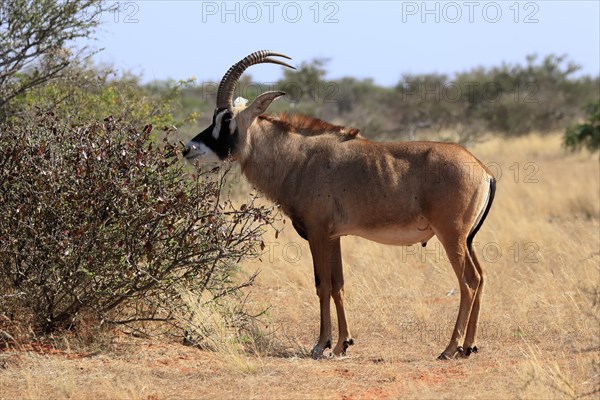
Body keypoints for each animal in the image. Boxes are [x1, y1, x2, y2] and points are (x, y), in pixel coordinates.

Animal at [183, 50, 496, 360]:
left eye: (226, 119)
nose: (188, 149)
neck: (298, 158)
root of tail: (483, 171)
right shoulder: (334, 237)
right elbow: (338, 286)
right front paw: (342, 343)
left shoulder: (318, 233)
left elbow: (322, 286)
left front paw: (321, 345)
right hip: (467, 239)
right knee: (480, 278)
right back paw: (469, 346)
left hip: (451, 236)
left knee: (468, 281)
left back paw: (450, 348)